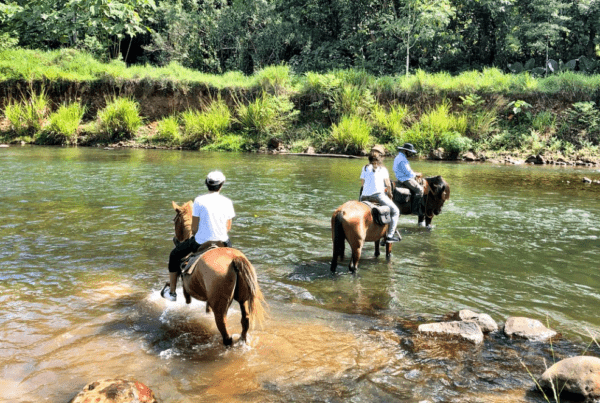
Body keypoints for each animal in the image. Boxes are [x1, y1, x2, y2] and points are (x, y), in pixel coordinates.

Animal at [170, 200, 266, 346]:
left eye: (175, 220)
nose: (175, 239)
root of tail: (235, 259)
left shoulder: (187, 291)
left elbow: (188, 301)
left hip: (220, 309)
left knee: (226, 335)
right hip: (243, 299)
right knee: (245, 322)